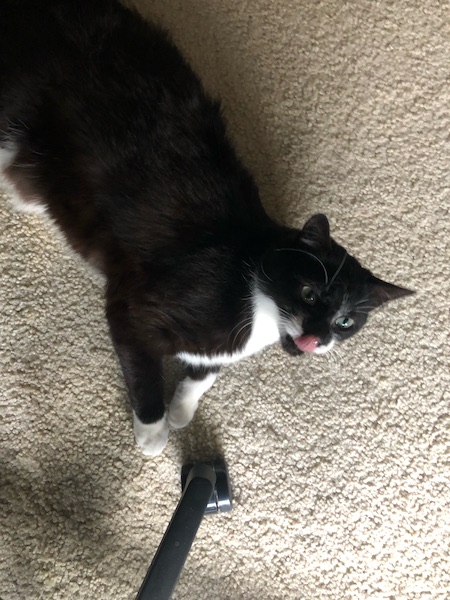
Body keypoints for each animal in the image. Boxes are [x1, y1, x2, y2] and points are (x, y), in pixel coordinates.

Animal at [0, 0, 414, 454]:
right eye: (308, 292)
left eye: (346, 322)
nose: (318, 336)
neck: (258, 306)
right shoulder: (135, 308)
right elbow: (144, 372)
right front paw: (153, 432)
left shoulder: (215, 352)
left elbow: (205, 374)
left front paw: (183, 409)